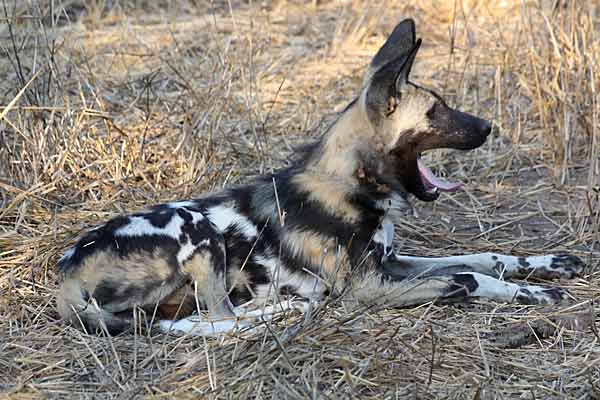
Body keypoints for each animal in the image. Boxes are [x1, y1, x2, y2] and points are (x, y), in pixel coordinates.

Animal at [55, 20, 580, 336]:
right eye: (436, 111)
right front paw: (530, 292)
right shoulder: (368, 287)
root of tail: (66, 272)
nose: (489, 127)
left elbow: (482, 258)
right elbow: (468, 277)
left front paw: (547, 266)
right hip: (196, 227)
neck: (351, 186)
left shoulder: (391, 264)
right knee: (220, 319)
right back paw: (283, 310)